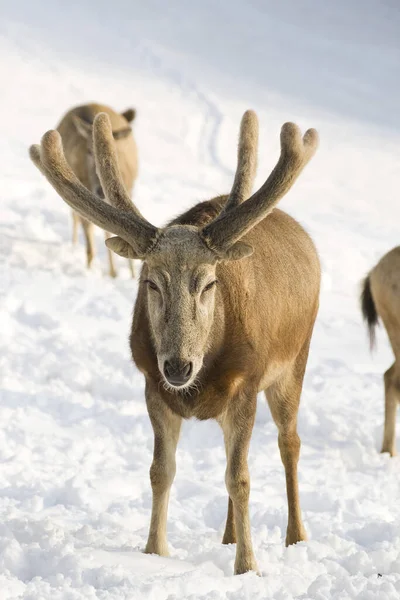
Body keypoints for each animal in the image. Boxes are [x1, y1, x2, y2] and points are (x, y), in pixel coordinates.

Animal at [56, 103, 138, 278]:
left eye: (115, 151)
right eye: (88, 150)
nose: (100, 191)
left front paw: (132, 275)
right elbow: (90, 248)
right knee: (75, 219)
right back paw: (74, 246)